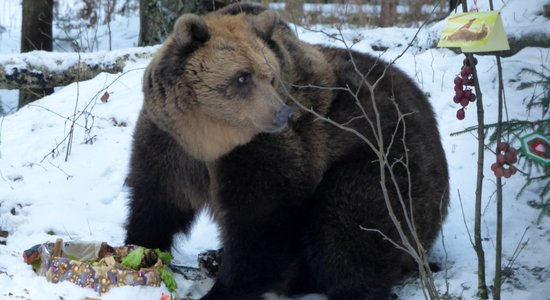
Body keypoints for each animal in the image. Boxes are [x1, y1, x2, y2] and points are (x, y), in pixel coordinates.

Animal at [126, 2, 452, 300]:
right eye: (242, 76)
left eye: (270, 75)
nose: (281, 113)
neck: (210, 139)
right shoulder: (169, 142)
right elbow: (155, 200)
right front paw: (138, 248)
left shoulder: (266, 151)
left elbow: (262, 223)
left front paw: (224, 290)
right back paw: (211, 258)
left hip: (389, 162)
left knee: (349, 226)